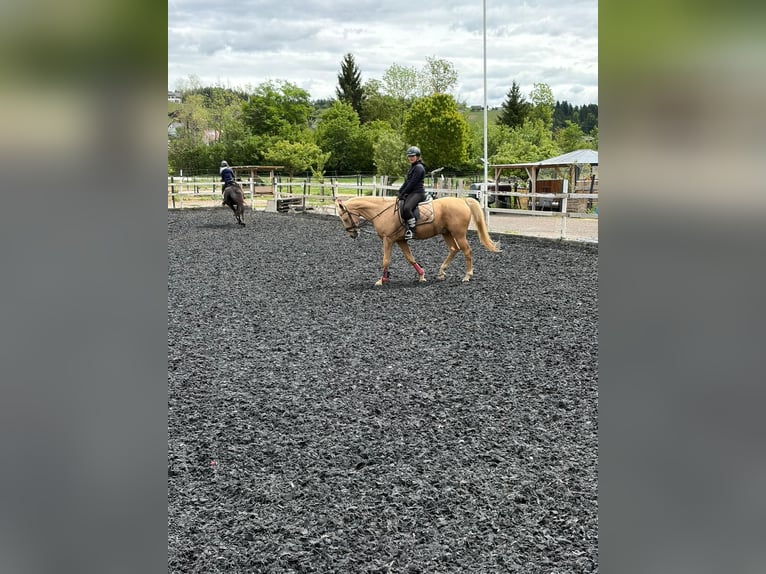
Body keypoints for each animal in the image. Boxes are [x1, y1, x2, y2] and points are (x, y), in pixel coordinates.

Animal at [336, 195, 501, 286]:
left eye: (344, 218)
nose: (353, 234)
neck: (381, 211)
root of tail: (462, 201)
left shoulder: (388, 240)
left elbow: (386, 260)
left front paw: (381, 280)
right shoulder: (400, 240)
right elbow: (410, 258)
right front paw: (421, 275)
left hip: (459, 233)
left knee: (466, 250)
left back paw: (467, 276)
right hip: (446, 233)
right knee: (454, 249)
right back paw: (441, 272)